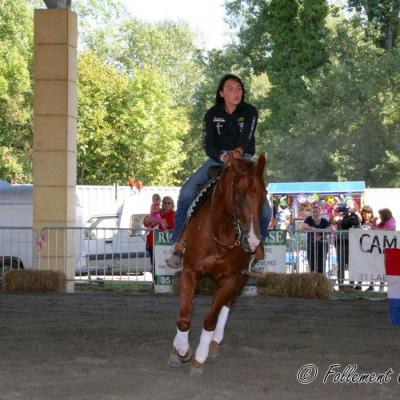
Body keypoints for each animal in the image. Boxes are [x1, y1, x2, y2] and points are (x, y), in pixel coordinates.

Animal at [167, 152, 268, 376]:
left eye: (264, 195)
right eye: (238, 194)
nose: (253, 241)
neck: (221, 234)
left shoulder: (230, 279)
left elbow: (211, 319)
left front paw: (199, 358)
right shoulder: (189, 273)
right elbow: (184, 317)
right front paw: (181, 349)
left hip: (240, 279)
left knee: (226, 306)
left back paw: (213, 345)